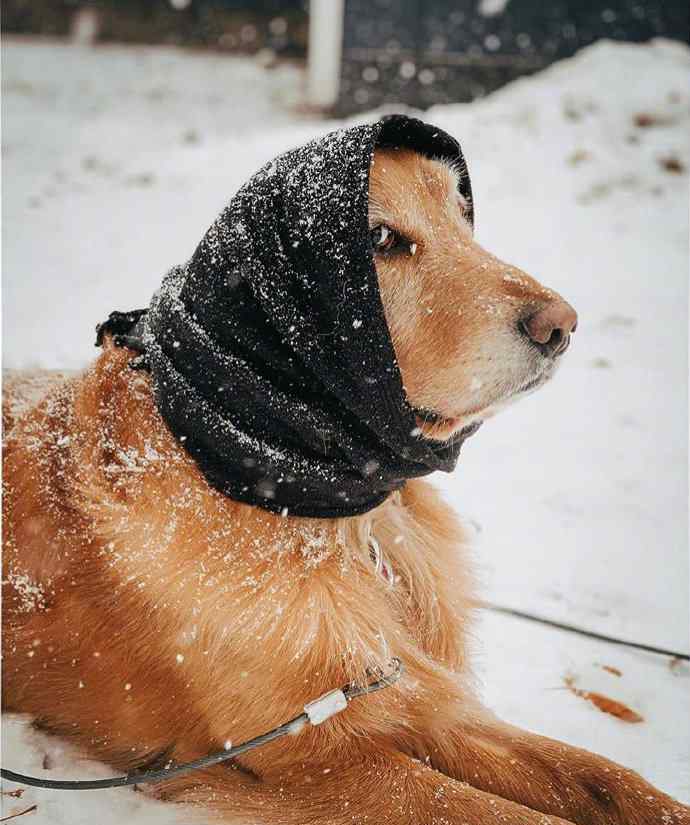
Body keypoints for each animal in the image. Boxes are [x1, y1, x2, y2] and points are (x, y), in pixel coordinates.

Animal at [2, 142, 684, 824]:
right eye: (380, 237)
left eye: (462, 216)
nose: (562, 324)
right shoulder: (314, 759)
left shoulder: (426, 702)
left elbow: (602, 775)